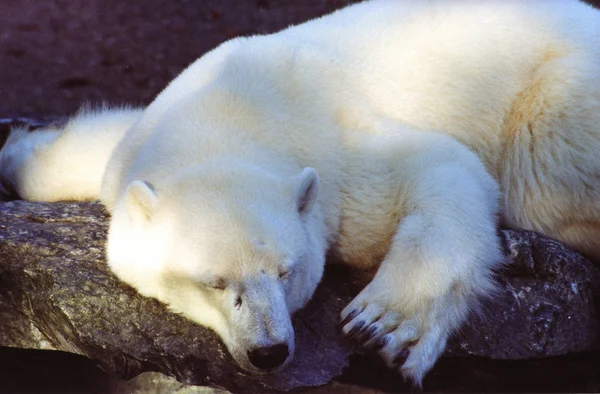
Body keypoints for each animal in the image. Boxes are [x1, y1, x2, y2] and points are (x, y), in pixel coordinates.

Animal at [1, 0, 600, 388]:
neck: (235, 112)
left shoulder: (343, 159)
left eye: (286, 271)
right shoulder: (138, 148)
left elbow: (444, 167)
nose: (269, 351)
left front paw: (384, 326)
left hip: (557, 98)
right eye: (214, 282)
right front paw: (17, 148)